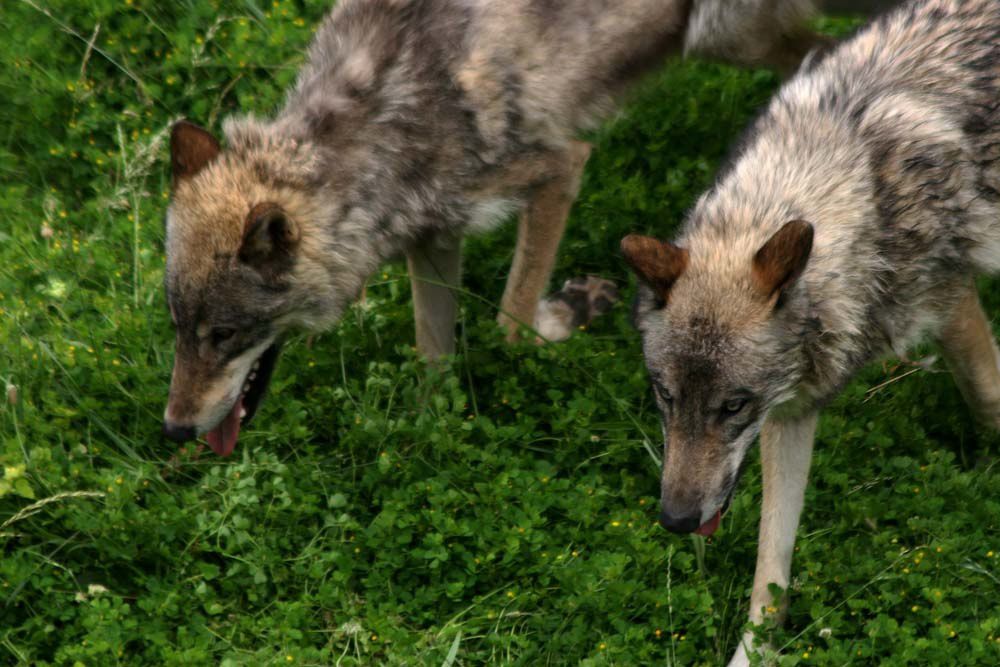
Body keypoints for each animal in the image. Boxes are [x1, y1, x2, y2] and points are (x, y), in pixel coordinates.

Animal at [162, 0, 844, 454]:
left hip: (727, 37)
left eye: (224, 334)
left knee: (818, 54)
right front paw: (432, 433)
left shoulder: (561, 167)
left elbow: (509, 322)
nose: (173, 428)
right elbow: (432, 359)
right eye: (178, 329)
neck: (383, 118)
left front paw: (568, 314)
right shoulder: (434, 240)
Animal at [620, 1, 1000, 664]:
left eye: (732, 406)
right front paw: (753, 652)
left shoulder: (952, 304)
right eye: (665, 397)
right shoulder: (791, 412)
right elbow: (772, 563)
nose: (676, 521)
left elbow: (990, 400)